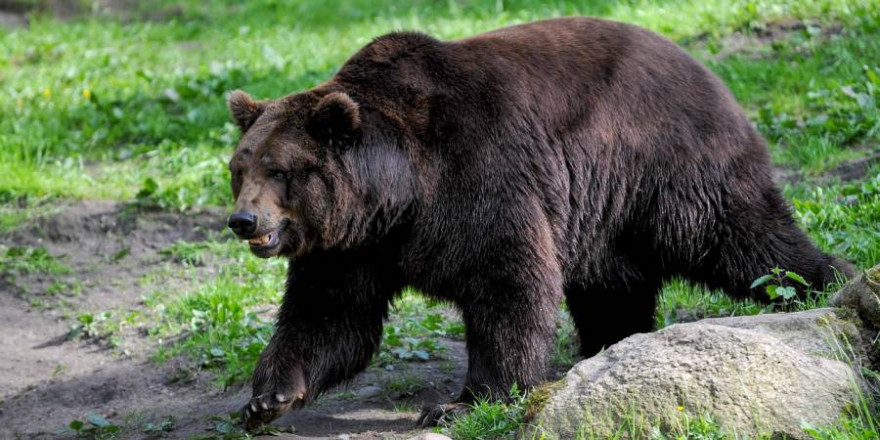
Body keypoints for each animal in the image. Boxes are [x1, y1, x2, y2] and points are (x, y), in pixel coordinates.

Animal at [227, 16, 852, 430]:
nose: (242, 220)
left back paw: (826, 285)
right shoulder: (352, 246)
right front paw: (267, 399)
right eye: (239, 166)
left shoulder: (479, 177)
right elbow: (331, 316)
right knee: (612, 286)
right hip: (605, 213)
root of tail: (709, 71)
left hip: (668, 169)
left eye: (279, 169)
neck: (398, 194)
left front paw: (462, 400)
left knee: (746, 242)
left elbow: (508, 283)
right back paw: (606, 346)